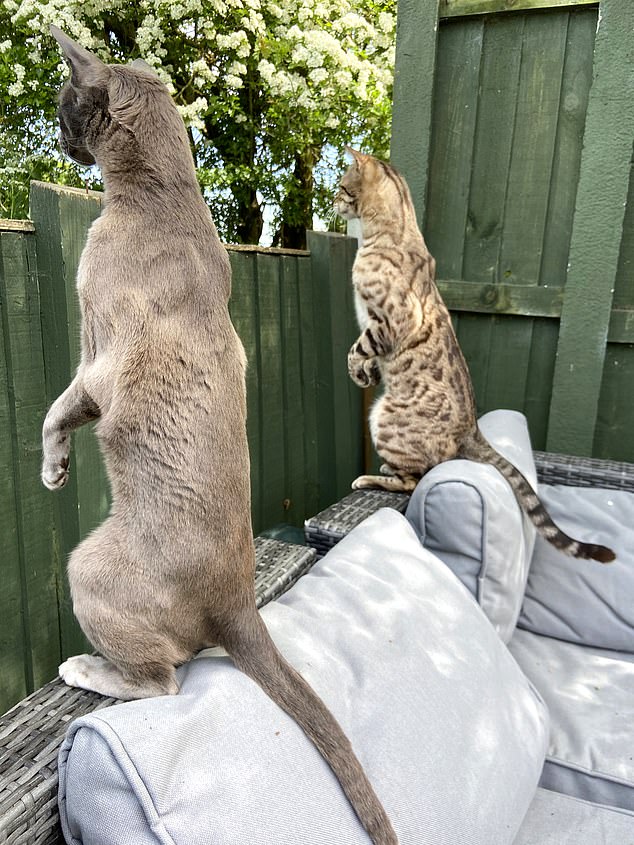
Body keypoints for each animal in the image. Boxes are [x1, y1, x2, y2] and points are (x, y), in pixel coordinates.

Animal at [42, 28, 396, 844]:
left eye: (66, 101)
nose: (62, 133)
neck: (161, 195)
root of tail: (239, 599)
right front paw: (59, 470)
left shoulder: (94, 361)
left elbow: (55, 409)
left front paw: (50, 469)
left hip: (88, 568)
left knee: (165, 680)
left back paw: (85, 670)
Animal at [336, 148, 612, 564]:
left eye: (340, 186)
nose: (332, 203)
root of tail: (474, 430)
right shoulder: (375, 325)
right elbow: (365, 352)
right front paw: (368, 373)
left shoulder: (389, 322)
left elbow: (357, 348)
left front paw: (357, 370)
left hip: (383, 417)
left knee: (414, 480)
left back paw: (372, 476)